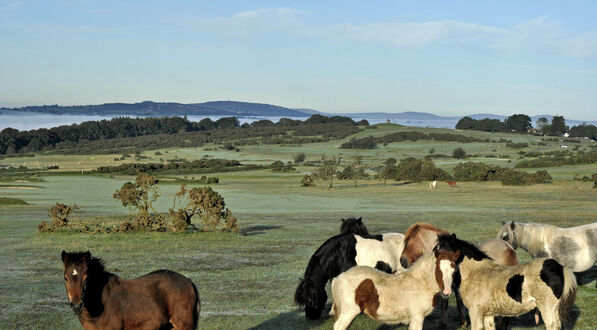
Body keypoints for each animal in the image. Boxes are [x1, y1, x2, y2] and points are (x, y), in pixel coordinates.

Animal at [328, 250, 458, 330]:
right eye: (439, 270)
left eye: (454, 270)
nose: (447, 292)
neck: (420, 283)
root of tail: (338, 278)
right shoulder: (417, 317)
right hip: (349, 312)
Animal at [434, 235, 576, 330]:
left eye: (442, 249)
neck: (475, 271)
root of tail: (559, 268)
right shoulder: (488, 314)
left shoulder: (475, 312)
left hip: (547, 308)